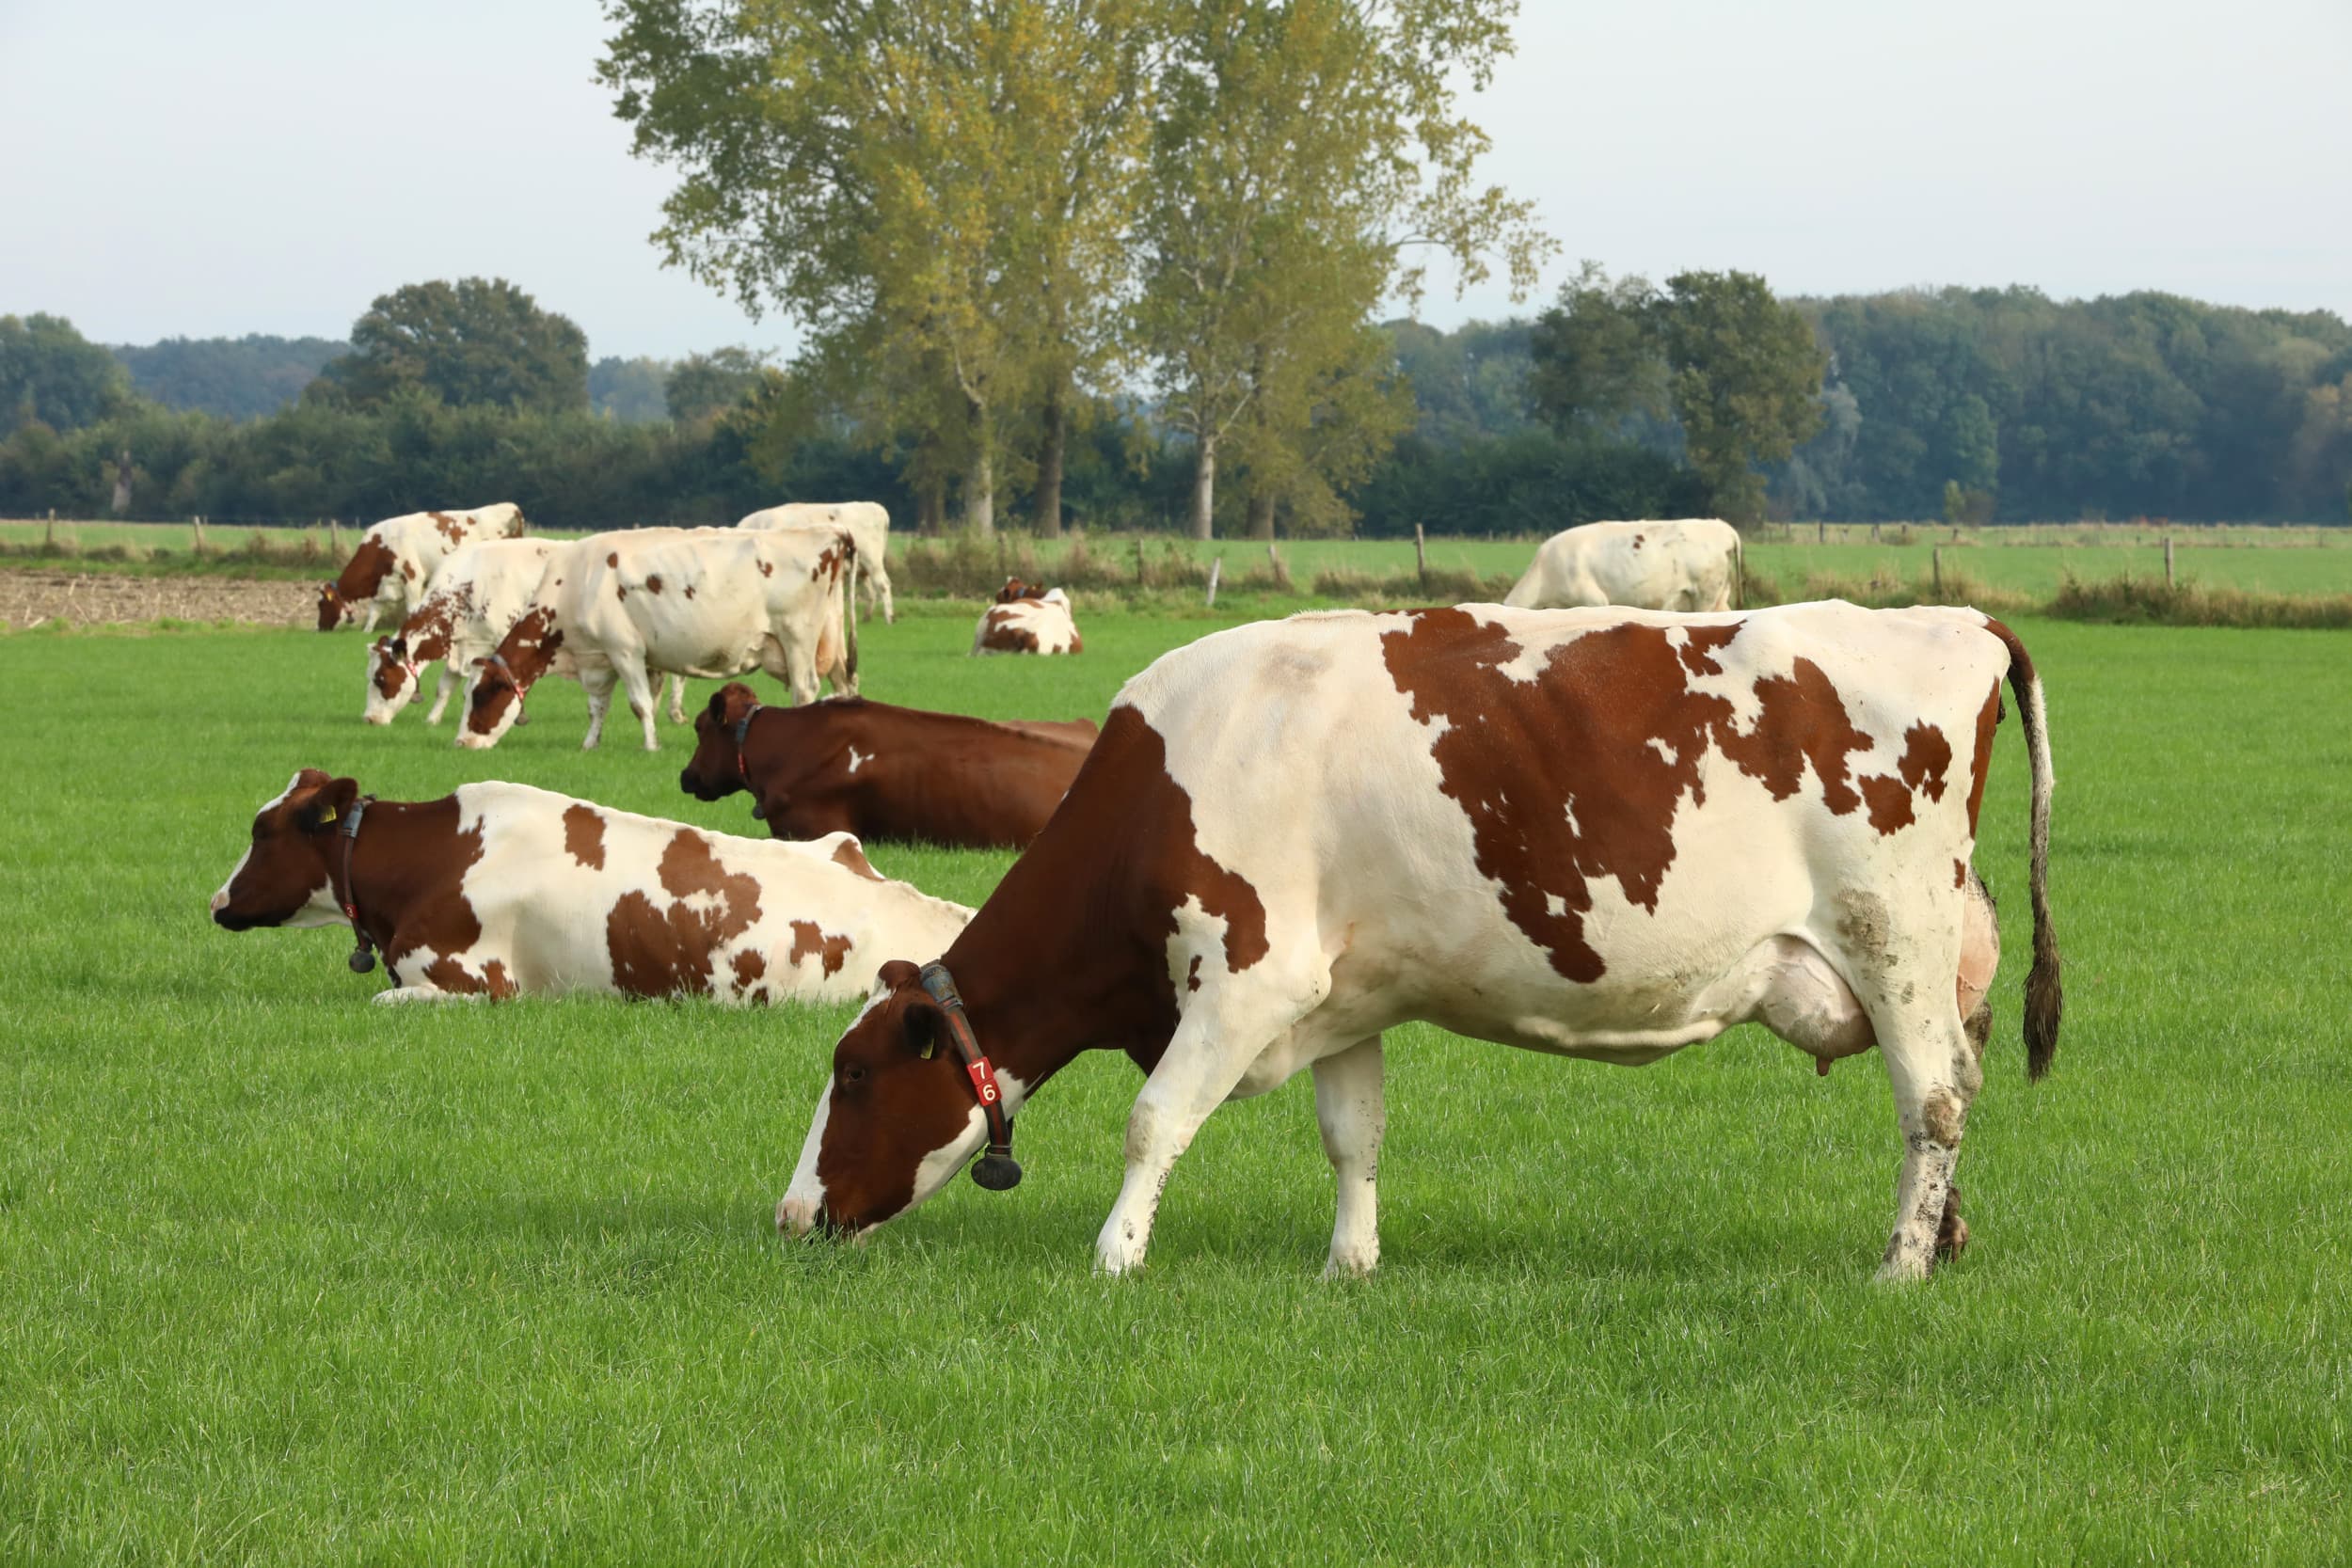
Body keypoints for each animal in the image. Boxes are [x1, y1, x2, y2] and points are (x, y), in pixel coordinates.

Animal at [317, 503, 527, 633]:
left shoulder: (412, 577)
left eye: (321, 604)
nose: (319, 628)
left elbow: (412, 609)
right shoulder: (383, 586)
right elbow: (373, 613)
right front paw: (366, 632)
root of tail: (510, 507)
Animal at [458, 526, 858, 753]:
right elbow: (599, 706)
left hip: (797, 638)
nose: (461, 742)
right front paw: (590, 744)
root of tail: (830, 534)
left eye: (480, 696)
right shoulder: (601, 658)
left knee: (805, 690)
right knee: (844, 685)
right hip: (832, 640)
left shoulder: (625, 651)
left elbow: (639, 704)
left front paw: (651, 747)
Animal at [738, 502, 895, 623]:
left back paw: (889, 618)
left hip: (872, 561)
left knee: (883, 584)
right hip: (861, 566)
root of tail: (876, 507)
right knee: (871, 590)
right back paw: (867, 617)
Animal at [773, 600, 2061, 1285]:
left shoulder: (1247, 977)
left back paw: (1897, 1262)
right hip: (1932, 957)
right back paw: (1942, 1239)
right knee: (1954, 1087)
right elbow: (1354, 1135)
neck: (1169, 772)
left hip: (1891, 936)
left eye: (853, 1073)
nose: (792, 1216)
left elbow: (1153, 1119)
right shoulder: (1344, 993)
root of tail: (1957, 619)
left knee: (1932, 1097)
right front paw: (1349, 1263)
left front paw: (1115, 1254)